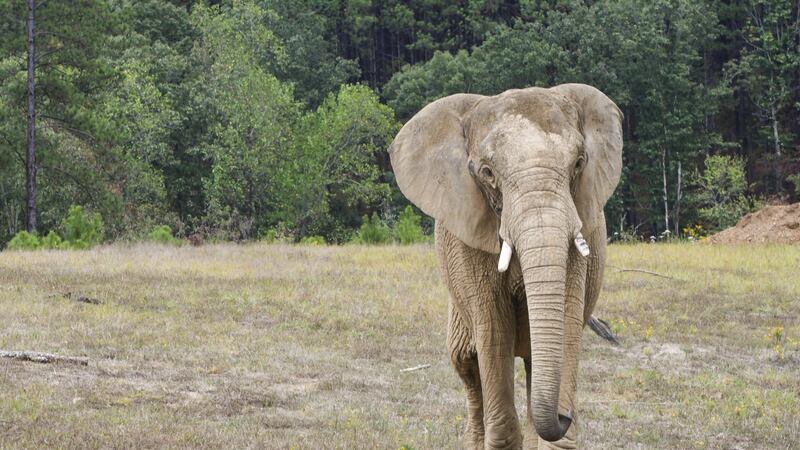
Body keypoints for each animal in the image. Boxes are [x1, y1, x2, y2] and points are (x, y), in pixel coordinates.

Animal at [389, 84, 622, 449]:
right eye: (487, 172)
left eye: (578, 163)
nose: (565, 414)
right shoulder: (469, 241)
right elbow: (492, 328)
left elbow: (567, 319)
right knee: (468, 367)